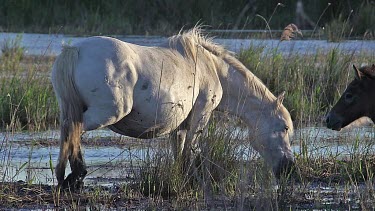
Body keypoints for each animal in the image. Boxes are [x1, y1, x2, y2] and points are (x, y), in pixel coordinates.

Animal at [51, 27, 296, 190]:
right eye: (284, 128)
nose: (289, 168)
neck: (212, 68)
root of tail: (74, 51)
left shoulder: (180, 124)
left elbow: (179, 150)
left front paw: (180, 176)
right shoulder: (201, 115)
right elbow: (190, 150)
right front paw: (191, 180)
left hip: (71, 108)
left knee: (67, 129)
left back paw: (64, 177)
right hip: (107, 113)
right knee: (74, 129)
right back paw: (77, 176)